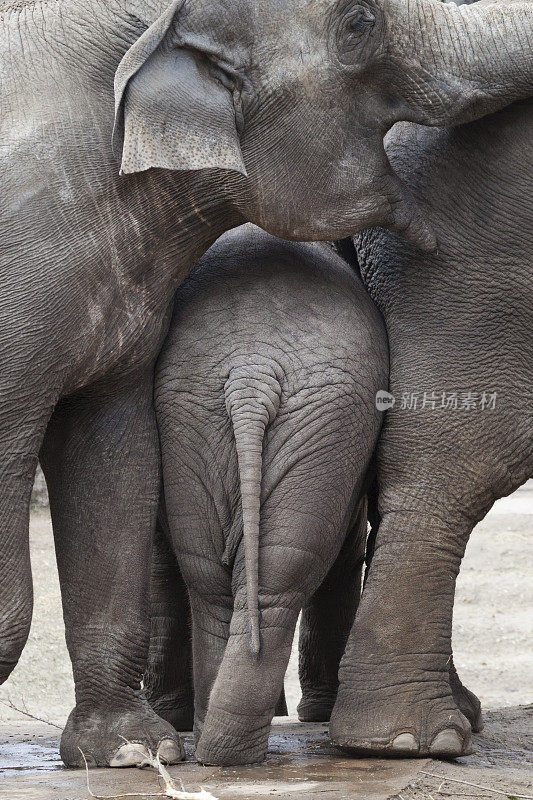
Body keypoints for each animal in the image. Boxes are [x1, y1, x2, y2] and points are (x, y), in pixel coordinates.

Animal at [150, 223, 386, 764]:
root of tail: (251, 373)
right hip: (271, 413)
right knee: (273, 571)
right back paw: (225, 746)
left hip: (230, 413)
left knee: (220, 575)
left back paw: (218, 746)